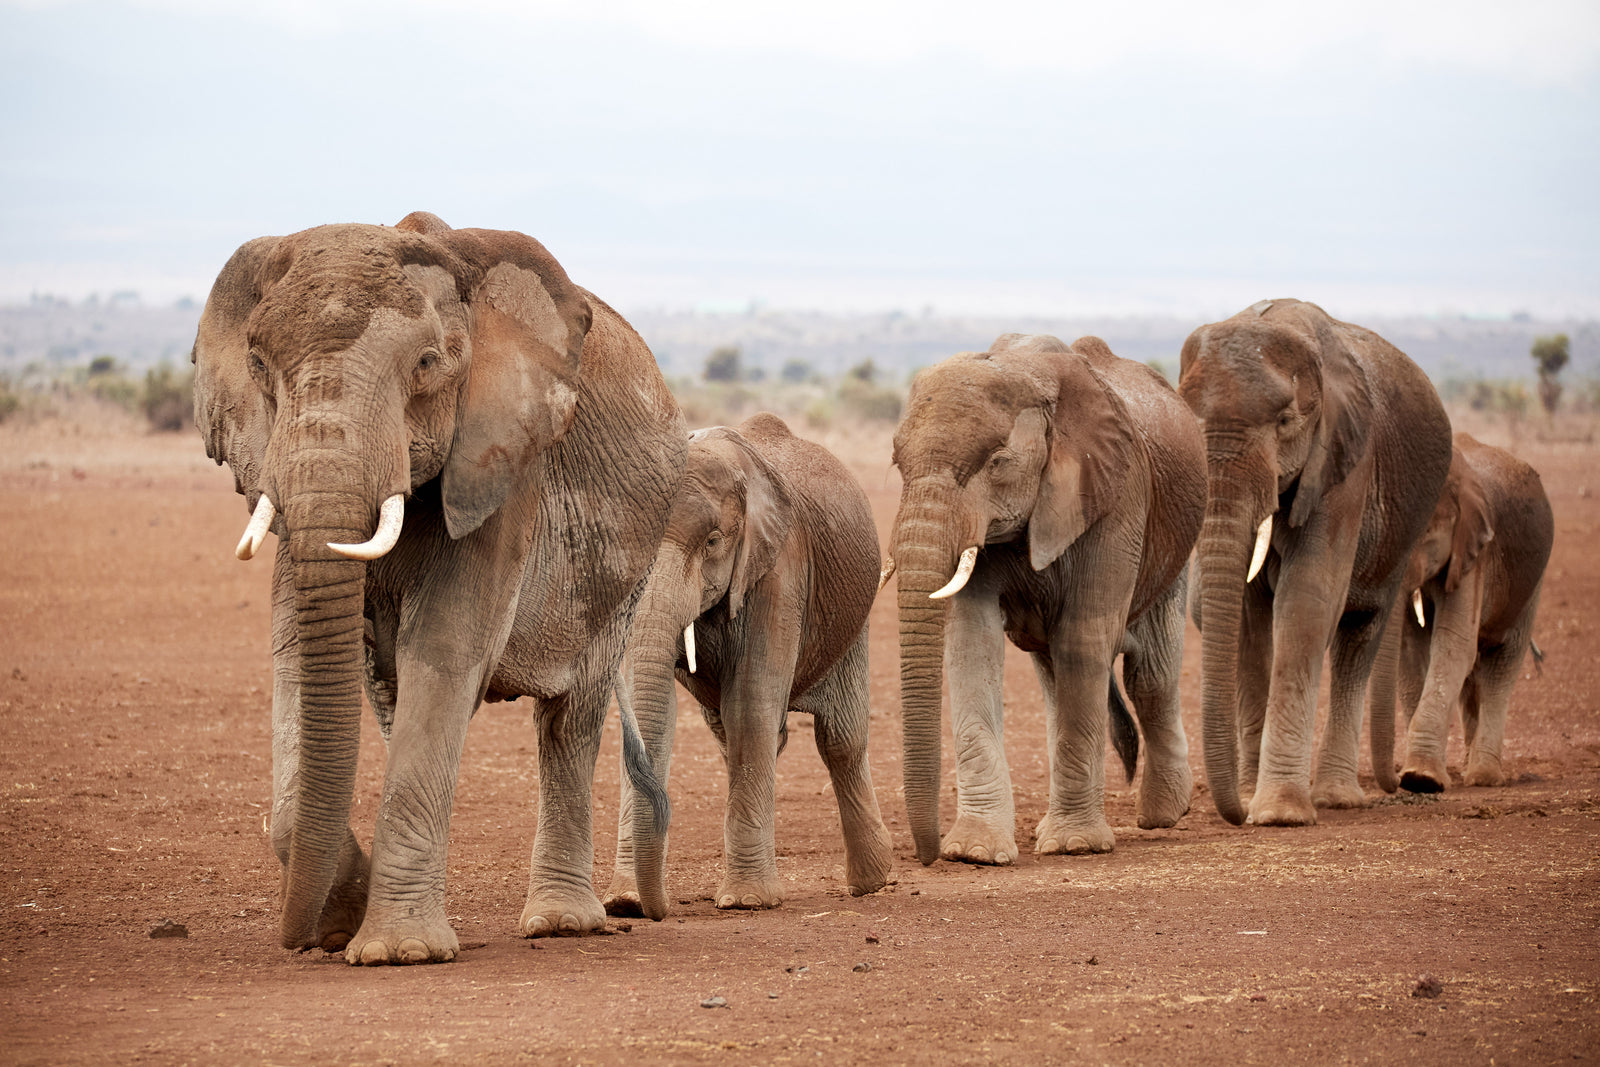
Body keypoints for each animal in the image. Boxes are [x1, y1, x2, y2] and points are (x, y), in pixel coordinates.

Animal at [191, 211, 686, 964]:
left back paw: (562, 923)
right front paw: (344, 917)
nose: (296, 939)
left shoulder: (502, 457)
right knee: (393, 698)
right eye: (257, 365)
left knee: (571, 716)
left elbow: (447, 643)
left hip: (626, 568)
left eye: (426, 364)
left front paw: (396, 952)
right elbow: (296, 647)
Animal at [601, 412, 894, 919]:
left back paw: (871, 883)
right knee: (730, 735)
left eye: (713, 541)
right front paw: (622, 903)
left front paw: (747, 902)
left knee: (841, 740)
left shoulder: (780, 568)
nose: (654, 911)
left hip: (856, 615)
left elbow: (751, 704)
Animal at [888, 332, 1206, 867]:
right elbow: (971, 642)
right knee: (1056, 672)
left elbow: (1084, 639)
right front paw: (975, 853)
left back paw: (1164, 814)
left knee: (1148, 674)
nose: (926, 858)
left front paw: (1076, 846)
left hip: (1177, 544)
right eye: (895, 464)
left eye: (997, 461)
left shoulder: (1117, 498)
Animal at [1178, 298, 1453, 826]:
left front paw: (1279, 815)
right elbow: (1243, 615)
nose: (1235, 814)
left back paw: (1336, 798)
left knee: (1359, 636)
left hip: (1404, 529)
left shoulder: (1344, 460)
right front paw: (1253, 798)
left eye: (1285, 421)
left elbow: (1307, 600)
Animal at [1365, 433, 1553, 793]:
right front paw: (1422, 773)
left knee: (1500, 665)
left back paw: (1484, 777)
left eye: (1424, 533)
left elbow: (1453, 646)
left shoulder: (1475, 552)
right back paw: (1467, 769)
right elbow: (1411, 650)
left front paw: (1421, 778)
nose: (1393, 782)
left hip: (1531, 585)